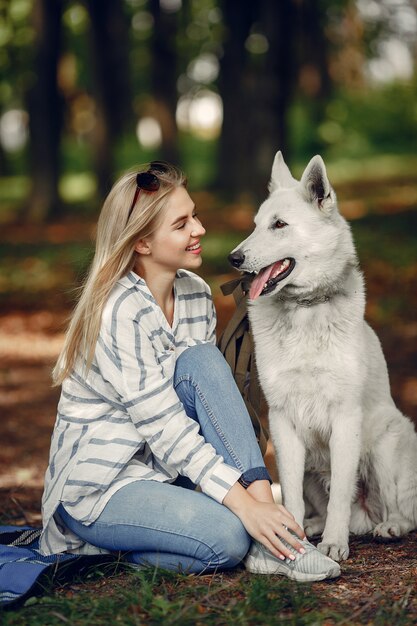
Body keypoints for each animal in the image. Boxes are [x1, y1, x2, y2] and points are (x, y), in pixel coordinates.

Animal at [229, 152, 416, 560]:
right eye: (255, 225)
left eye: (279, 225)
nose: (233, 258)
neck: (304, 310)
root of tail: (366, 518)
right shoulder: (282, 421)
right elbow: (291, 497)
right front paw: (293, 537)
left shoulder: (345, 419)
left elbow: (341, 495)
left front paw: (334, 542)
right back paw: (313, 526)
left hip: (384, 442)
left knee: (401, 511)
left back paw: (387, 526)